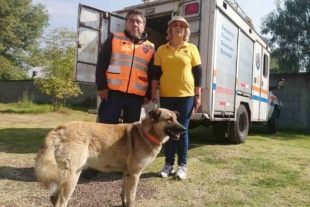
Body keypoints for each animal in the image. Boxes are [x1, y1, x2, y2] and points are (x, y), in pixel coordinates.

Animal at [34, 108, 184, 207]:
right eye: (169, 119)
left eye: (176, 118)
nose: (184, 129)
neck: (145, 133)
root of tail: (59, 129)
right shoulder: (135, 174)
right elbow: (132, 196)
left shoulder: (127, 173)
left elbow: (124, 193)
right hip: (72, 177)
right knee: (60, 202)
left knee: (53, 198)